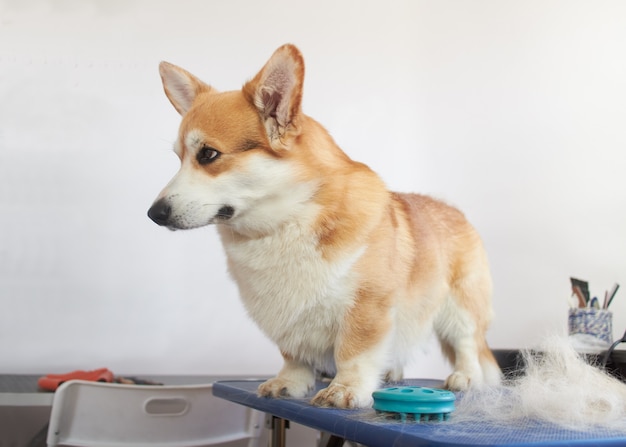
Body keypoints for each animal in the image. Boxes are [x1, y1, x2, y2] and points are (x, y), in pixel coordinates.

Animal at [149, 43, 500, 408]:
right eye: (179, 159)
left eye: (208, 154)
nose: (153, 213)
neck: (285, 222)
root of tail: (456, 211)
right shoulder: (286, 318)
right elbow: (293, 356)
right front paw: (288, 383)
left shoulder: (367, 308)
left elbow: (354, 352)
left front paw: (346, 389)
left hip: (459, 309)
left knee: (467, 344)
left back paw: (465, 377)